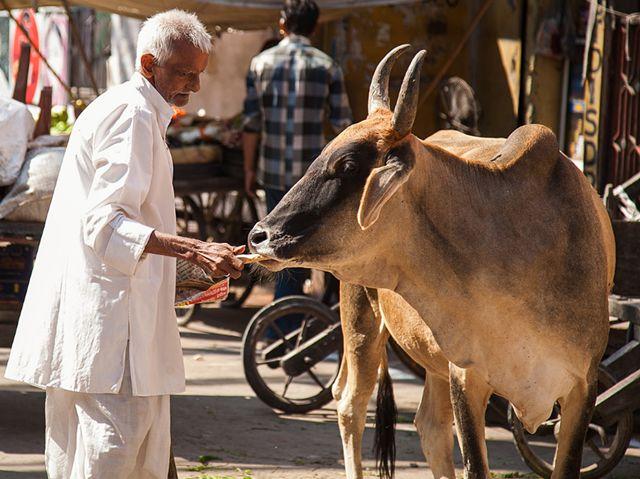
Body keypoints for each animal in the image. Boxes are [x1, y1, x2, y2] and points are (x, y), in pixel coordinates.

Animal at [248, 43, 612, 478]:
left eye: (348, 164)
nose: (259, 236)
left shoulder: (582, 387)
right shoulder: (467, 377)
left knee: (428, 427)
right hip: (360, 320)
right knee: (351, 403)